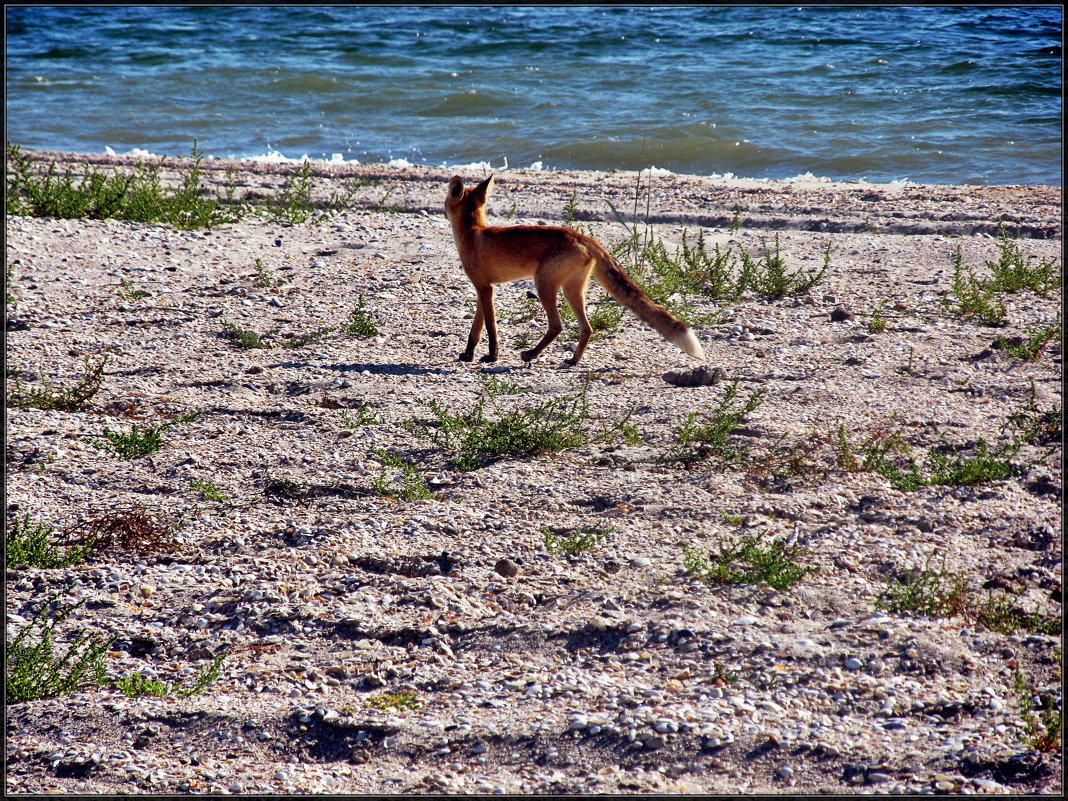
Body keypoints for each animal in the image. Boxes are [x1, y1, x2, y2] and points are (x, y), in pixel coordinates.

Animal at [444, 177, 704, 369]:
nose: (443, 210)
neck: (473, 232)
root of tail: (584, 237)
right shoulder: (484, 288)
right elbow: (476, 330)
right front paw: (468, 355)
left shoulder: (485, 289)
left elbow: (490, 328)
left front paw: (492, 357)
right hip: (572, 290)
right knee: (587, 328)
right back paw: (574, 360)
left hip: (544, 285)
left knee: (557, 326)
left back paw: (532, 354)